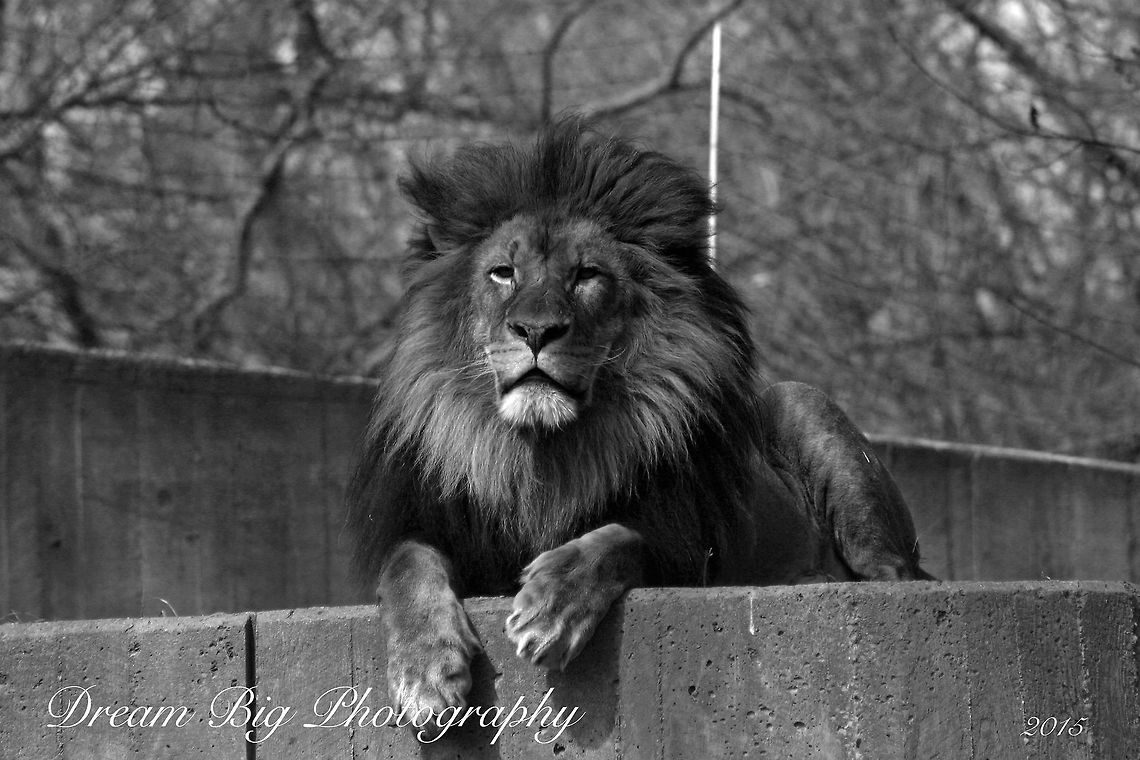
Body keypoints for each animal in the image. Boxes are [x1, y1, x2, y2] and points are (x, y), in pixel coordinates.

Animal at [347, 116, 932, 728]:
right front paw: (424, 671)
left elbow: (618, 538)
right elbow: (406, 563)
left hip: (804, 409)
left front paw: (551, 606)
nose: (536, 330)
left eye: (587, 275)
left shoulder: (691, 552)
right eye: (503, 273)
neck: (544, 450)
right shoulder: (437, 529)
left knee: (894, 576)